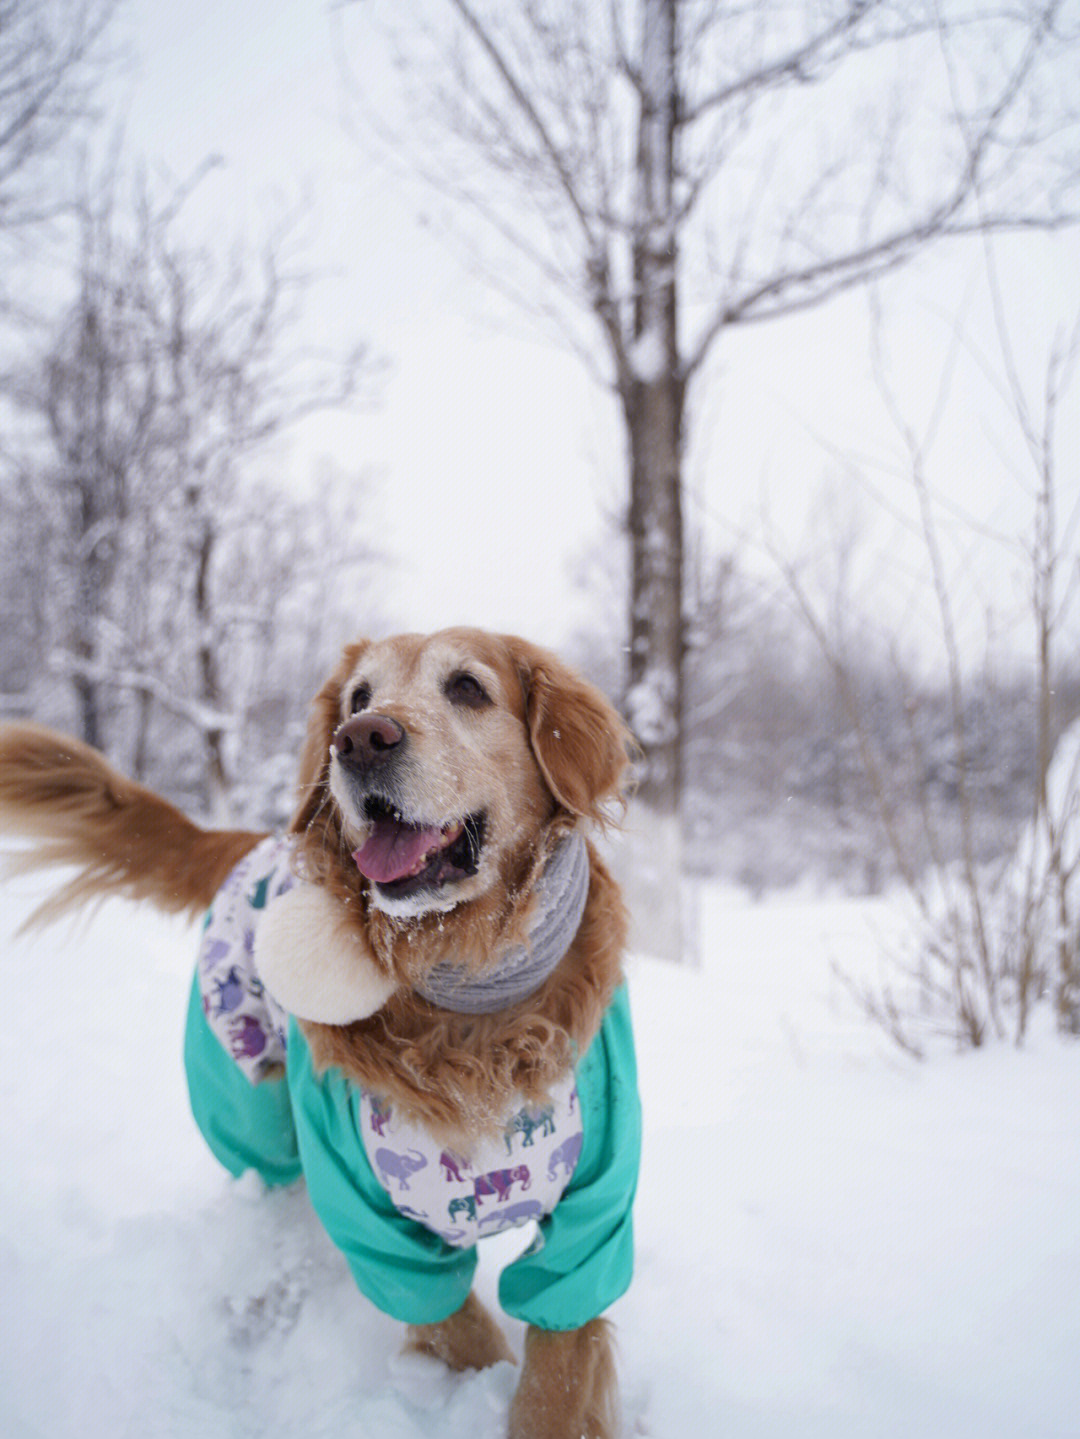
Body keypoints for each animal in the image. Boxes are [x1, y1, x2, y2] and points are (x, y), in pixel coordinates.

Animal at [0, 630, 641, 1439]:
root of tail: (255, 841)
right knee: (270, 1205)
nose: (360, 739)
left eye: (468, 687)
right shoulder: (367, 1209)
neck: (464, 992)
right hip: (249, 1106)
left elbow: (559, 1365)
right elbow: (458, 1327)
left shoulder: (598, 1204)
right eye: (358, 697)